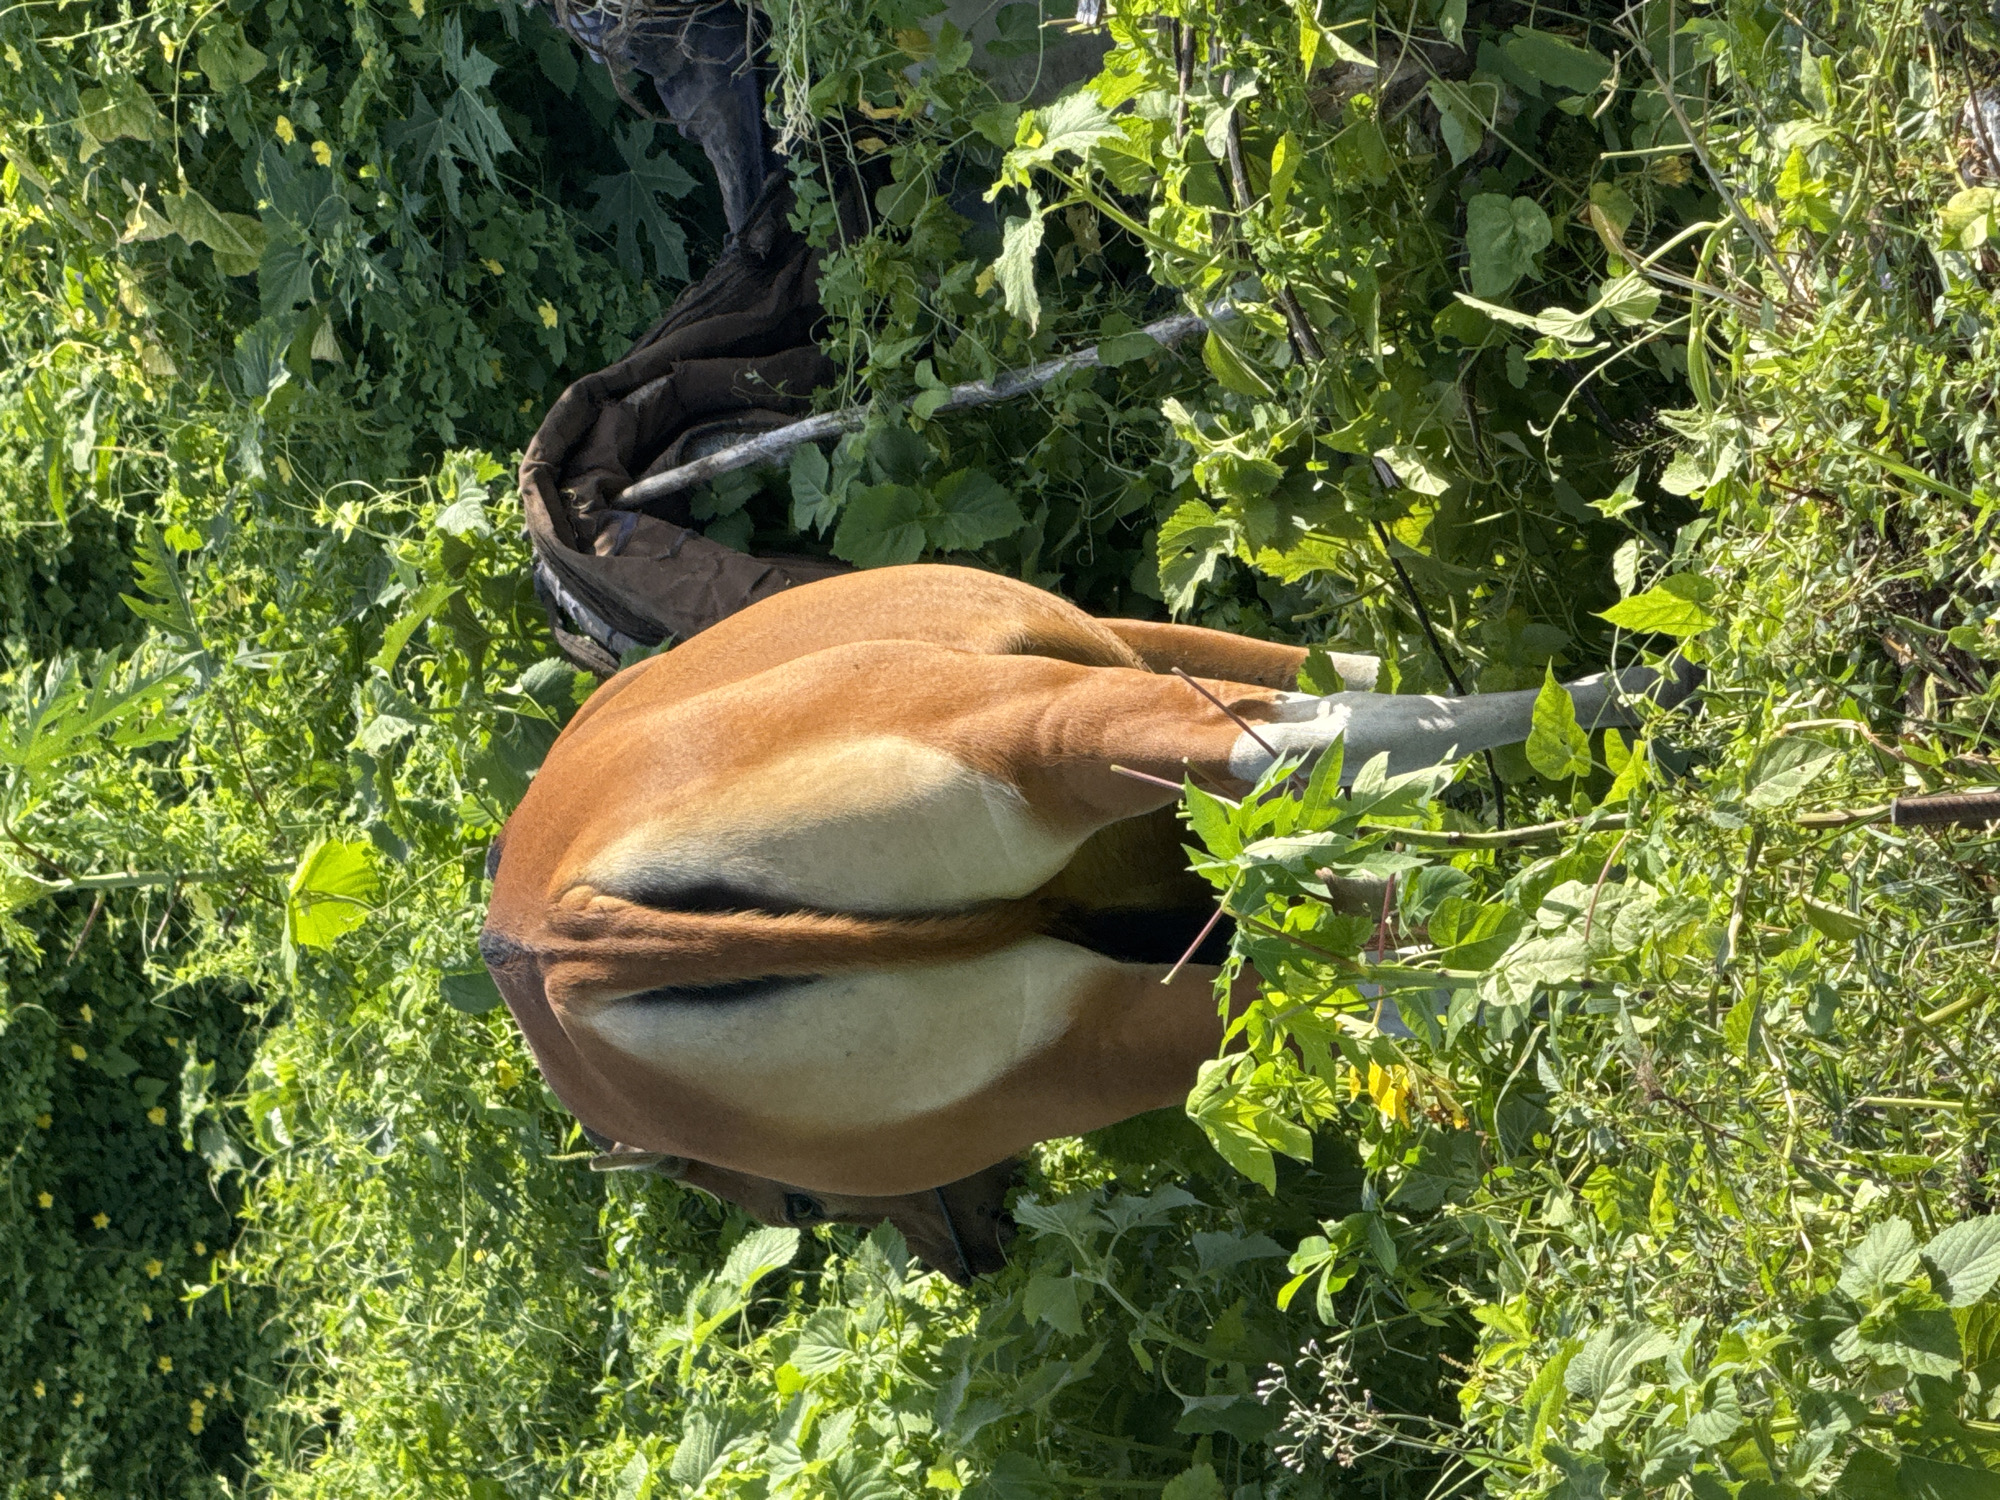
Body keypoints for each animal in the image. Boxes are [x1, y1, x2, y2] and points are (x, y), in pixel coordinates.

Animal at [479, 563, 1695, 1282]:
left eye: (800, 1200)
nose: (968, 1260)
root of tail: (565, 944)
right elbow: (1351, 683)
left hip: (1107, 1033)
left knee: (1387, 986)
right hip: (1060, 744)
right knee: (1314, 761)